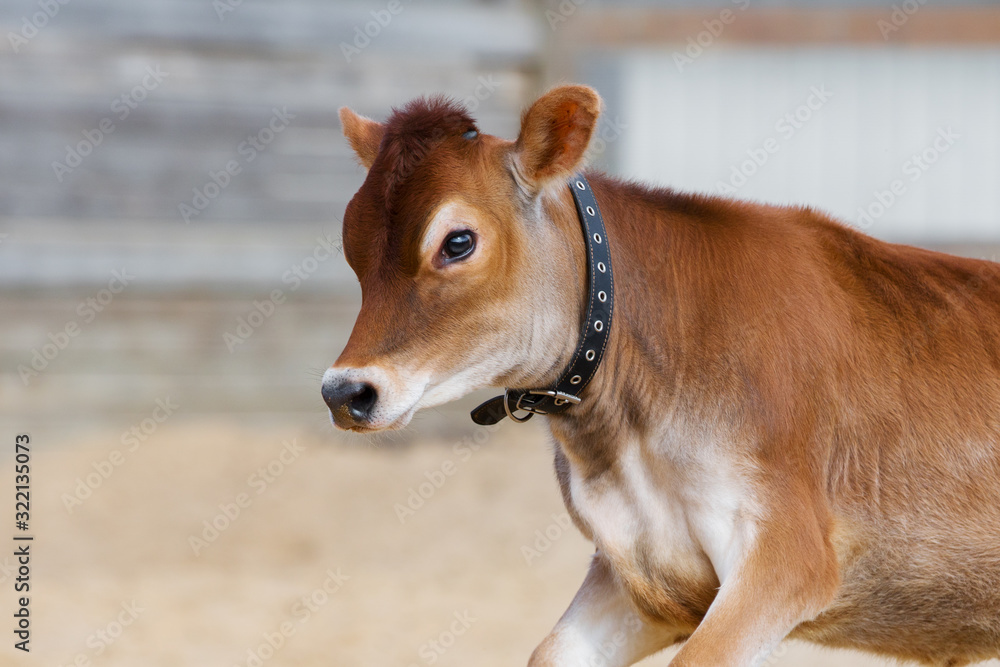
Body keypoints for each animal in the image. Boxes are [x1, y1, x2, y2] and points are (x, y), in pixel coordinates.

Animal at [323, 84, 1000, 667]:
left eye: (457, 241)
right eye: (350, 245)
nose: (343, 391)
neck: (628, 432)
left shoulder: (788, 554)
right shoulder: (638, 571)